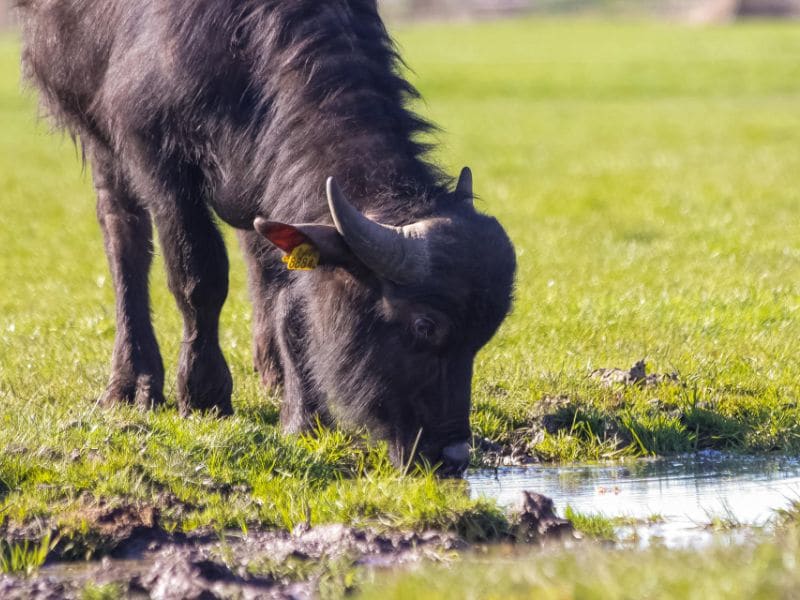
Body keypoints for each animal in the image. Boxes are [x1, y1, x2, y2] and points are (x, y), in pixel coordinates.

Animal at [20, 1, 520, 478]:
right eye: (424, 325)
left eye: (482, 337)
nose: (454, 455)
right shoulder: (158, 162)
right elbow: (197, 279)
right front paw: (203, 394)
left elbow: (290, 300)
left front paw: (303, 418)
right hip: (95, 133)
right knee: (124, 236)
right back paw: (133, 381)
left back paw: (274, 373)